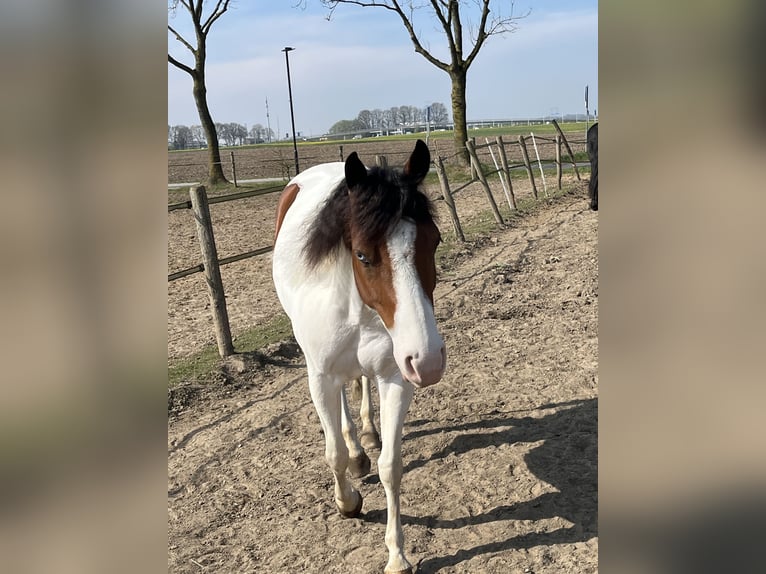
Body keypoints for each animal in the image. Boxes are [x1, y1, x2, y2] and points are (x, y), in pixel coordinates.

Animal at [272, 139, 446, 574]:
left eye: (434, 241)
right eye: (364, 256)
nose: (429, 360)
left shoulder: (397, 377)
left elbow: (391, 467)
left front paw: (397, 555)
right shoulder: (319, 377)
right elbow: (332, 452)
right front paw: (347, 502)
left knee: (362, 386)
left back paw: (366, 434)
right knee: (341, 416)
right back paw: (355, 449)